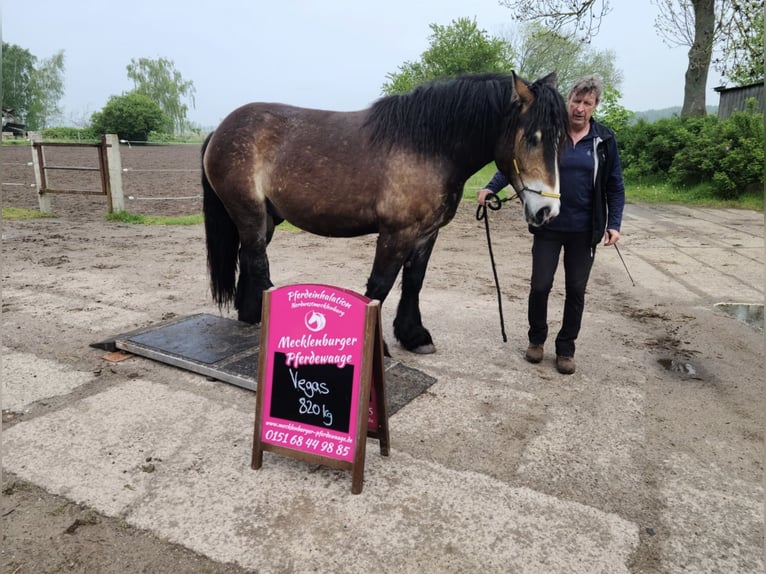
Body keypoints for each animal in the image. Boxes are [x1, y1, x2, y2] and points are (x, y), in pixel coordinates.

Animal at [201, 71, 568, 355]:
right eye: (531, 138)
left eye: (560, 140)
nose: (548, 210)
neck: (429, 146)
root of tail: (220, 129)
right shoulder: (397, 233)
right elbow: (380, 285)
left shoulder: (426, 233)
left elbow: (413, 282)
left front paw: (414, 336)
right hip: (248, 212)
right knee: (257, 261)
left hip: (265, 218)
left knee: (249, 256)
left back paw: (251, 316)